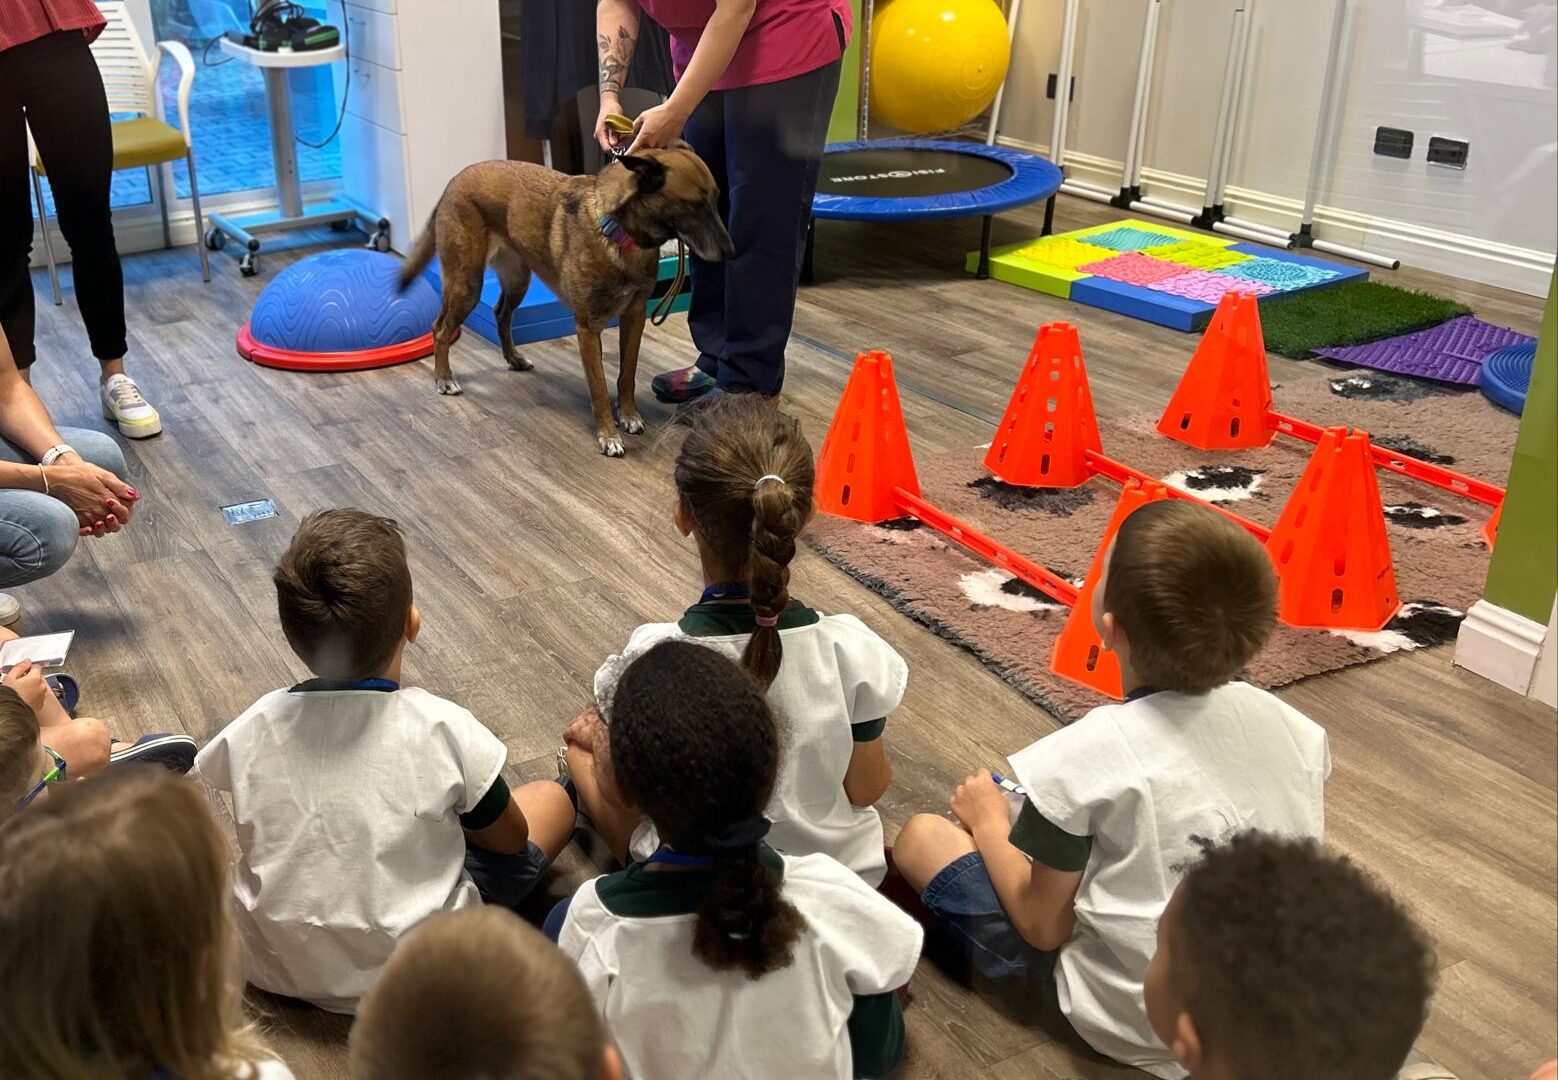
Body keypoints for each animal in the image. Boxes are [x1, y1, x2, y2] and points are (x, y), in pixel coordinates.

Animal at [395, 147, 729, 455]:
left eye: (715, 199)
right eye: (694, 205)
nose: (732, 251)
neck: (618, 232)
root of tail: (454, 180)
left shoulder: (634, 318)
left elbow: (627, 374)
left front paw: (628, 415)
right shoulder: (587, 329)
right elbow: (598, 386)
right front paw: (608, 435)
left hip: (517, 280)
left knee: (501, 313)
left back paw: (512, 358)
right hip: (467, 284)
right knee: (440, 328)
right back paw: (444, 379)